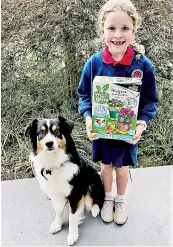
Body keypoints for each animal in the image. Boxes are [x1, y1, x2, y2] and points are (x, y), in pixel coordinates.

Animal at [25, 116, 104, 246]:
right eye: (41, 133)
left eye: (57, 131)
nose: (49, 143)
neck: (54, 162)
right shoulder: (55, 193)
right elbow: (58, 210)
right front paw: (57, 224)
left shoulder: (75, 194)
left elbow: (72, 217)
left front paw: (72, 235)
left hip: (93, 183)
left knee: (97, 199)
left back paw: (95, 210)